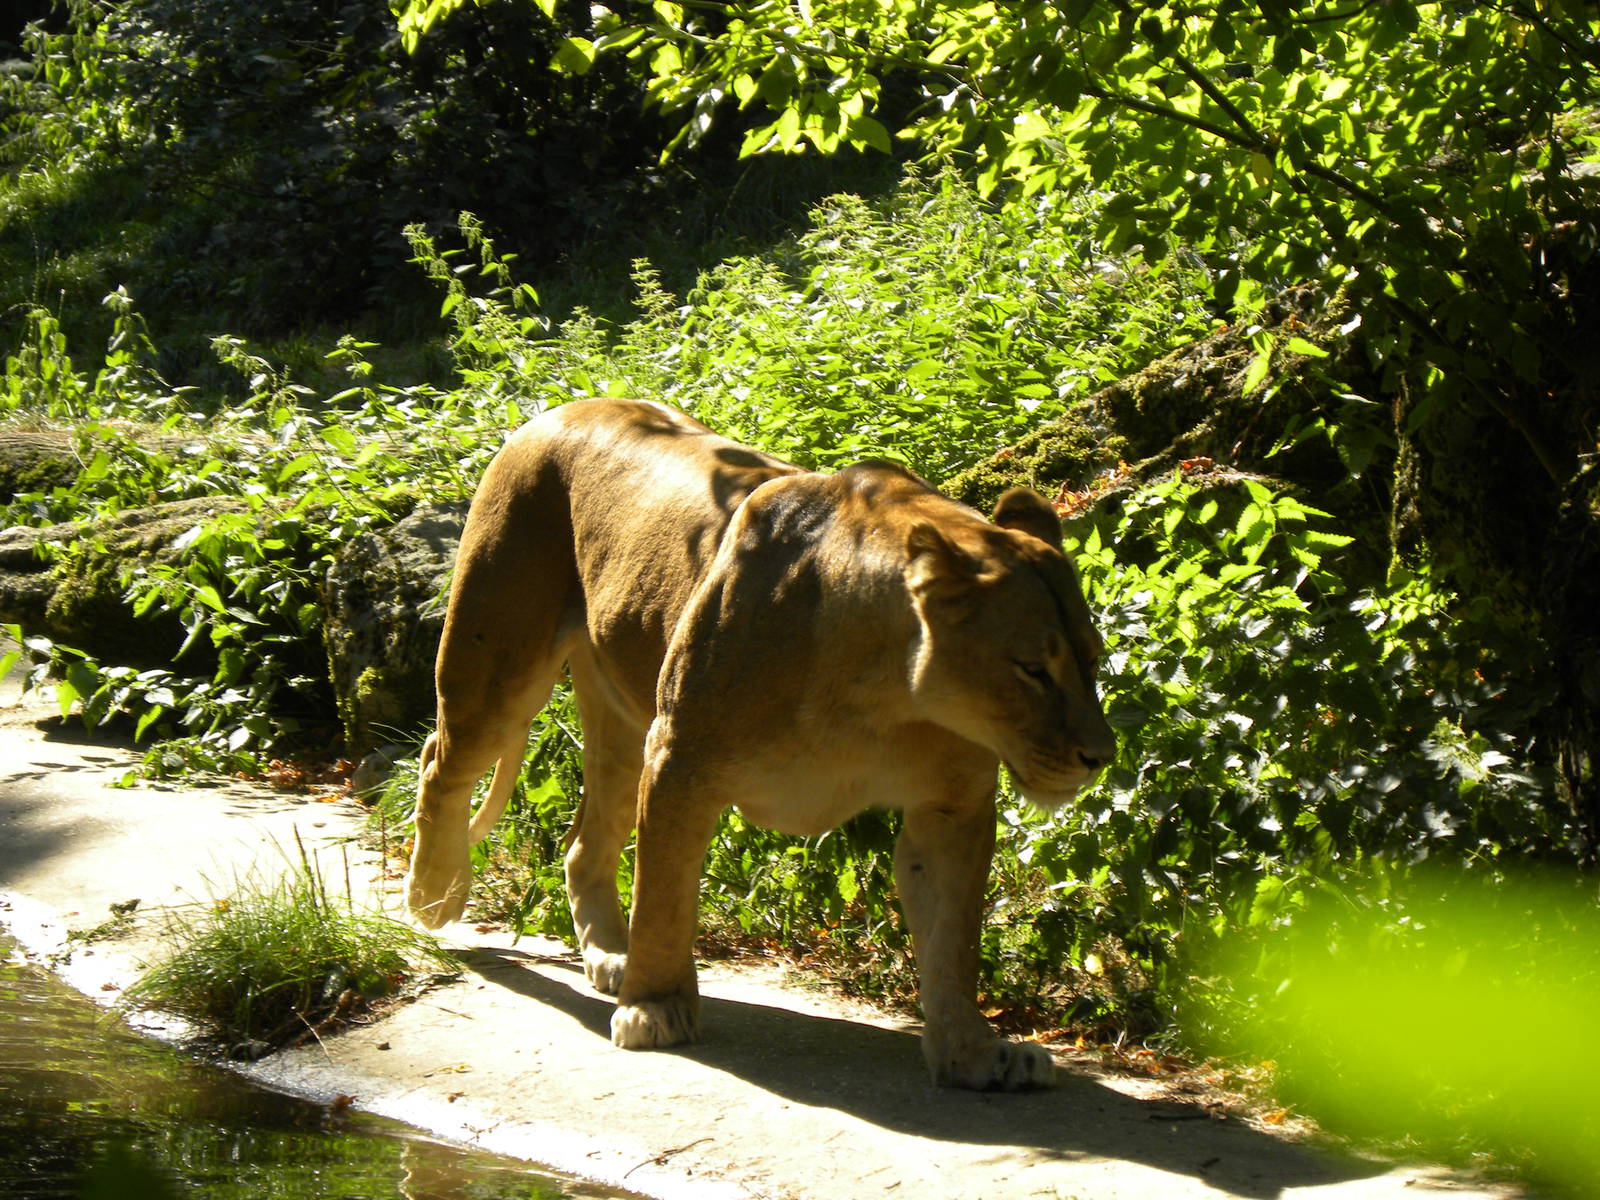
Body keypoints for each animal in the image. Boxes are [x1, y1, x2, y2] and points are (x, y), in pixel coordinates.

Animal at [405, 398, 1116, 1090]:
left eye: (1093, 659)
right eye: (1032, 669)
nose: (1100, 758)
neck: (885, 696)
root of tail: (556, 409)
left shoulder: (952, 806)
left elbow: (953, 940)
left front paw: (973, 1053)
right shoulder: (678, 758)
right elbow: (663, 897)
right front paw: (655, 1008)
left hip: (620, 720)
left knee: (583, 841)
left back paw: (610, 956)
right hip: (497, 666)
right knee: (439, 760)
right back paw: (436, 896)